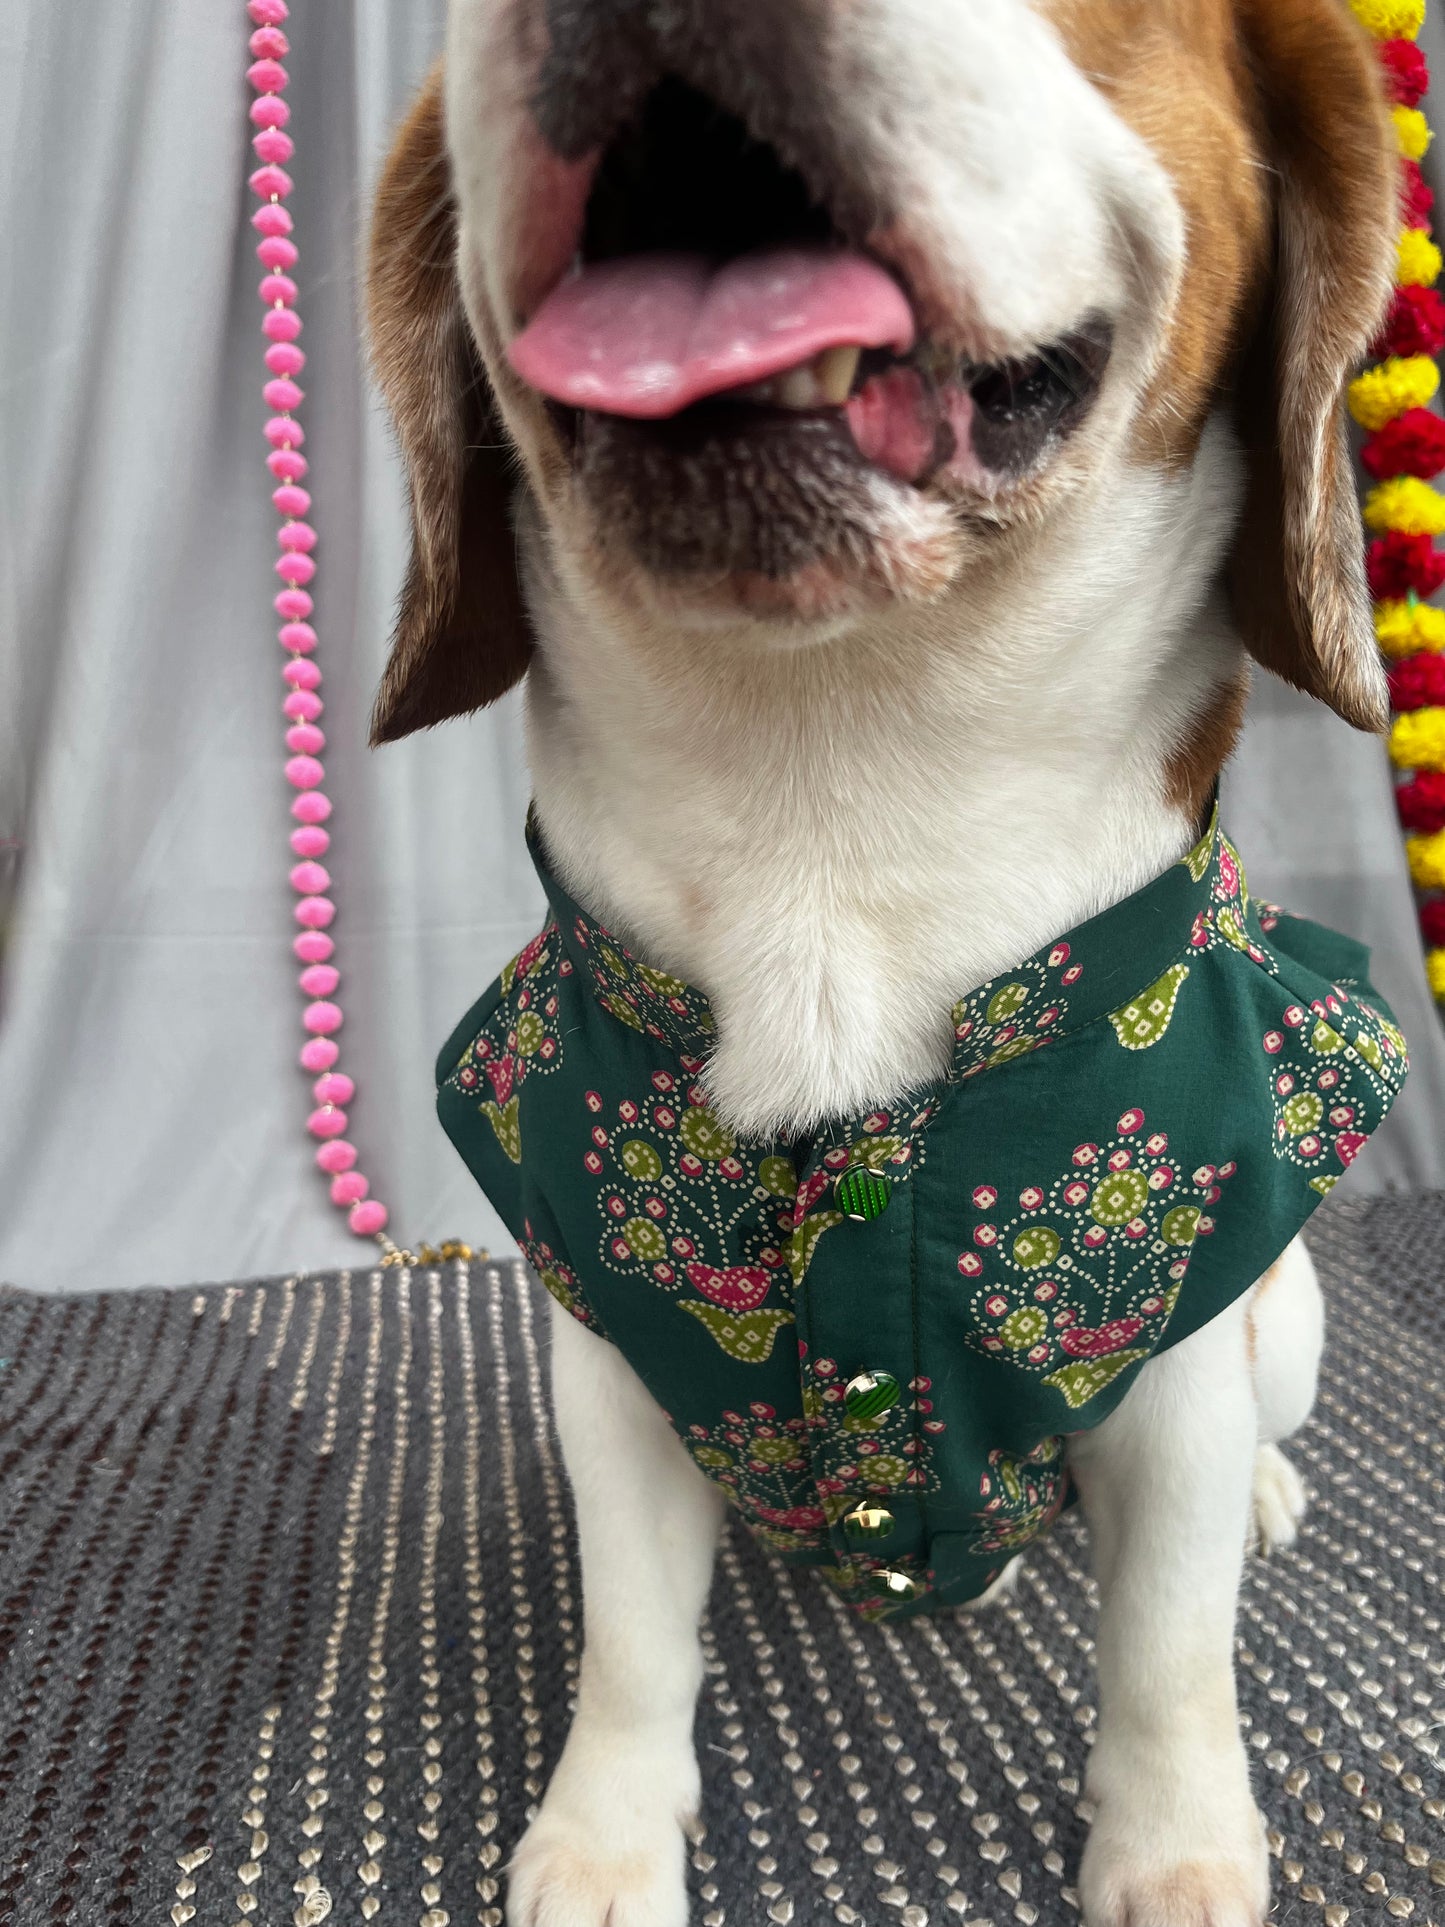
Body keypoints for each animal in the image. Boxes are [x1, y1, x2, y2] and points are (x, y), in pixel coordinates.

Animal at [367, 3, 1410, 1927]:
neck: (836, 763)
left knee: (1253, 1443)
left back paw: (1268, 1497)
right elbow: (633, 1637)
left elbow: (1171, 1648)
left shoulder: (1173, 1365)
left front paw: (1177, 1849)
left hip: (1281, 1313)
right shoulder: (609, 1353)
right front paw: (604, 1833)